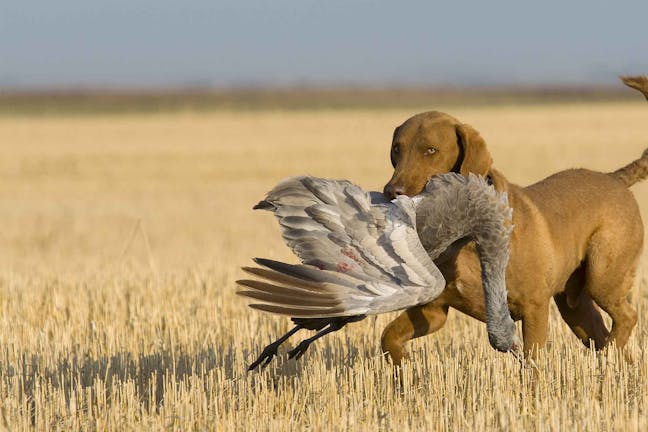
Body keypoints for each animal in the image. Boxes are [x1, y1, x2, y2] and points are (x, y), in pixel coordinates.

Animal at [380, 76, 648, 362]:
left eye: (431, 150)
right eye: (396, 150)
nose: (391, 191)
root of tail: (615, 178)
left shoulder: (534, 307)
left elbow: (533, 362)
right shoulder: (434, 310)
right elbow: (388, 336)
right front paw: (404, 367)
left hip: (603, 275)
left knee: (628, 316)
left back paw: (610, 352)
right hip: (575, 306)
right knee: (605, 335)